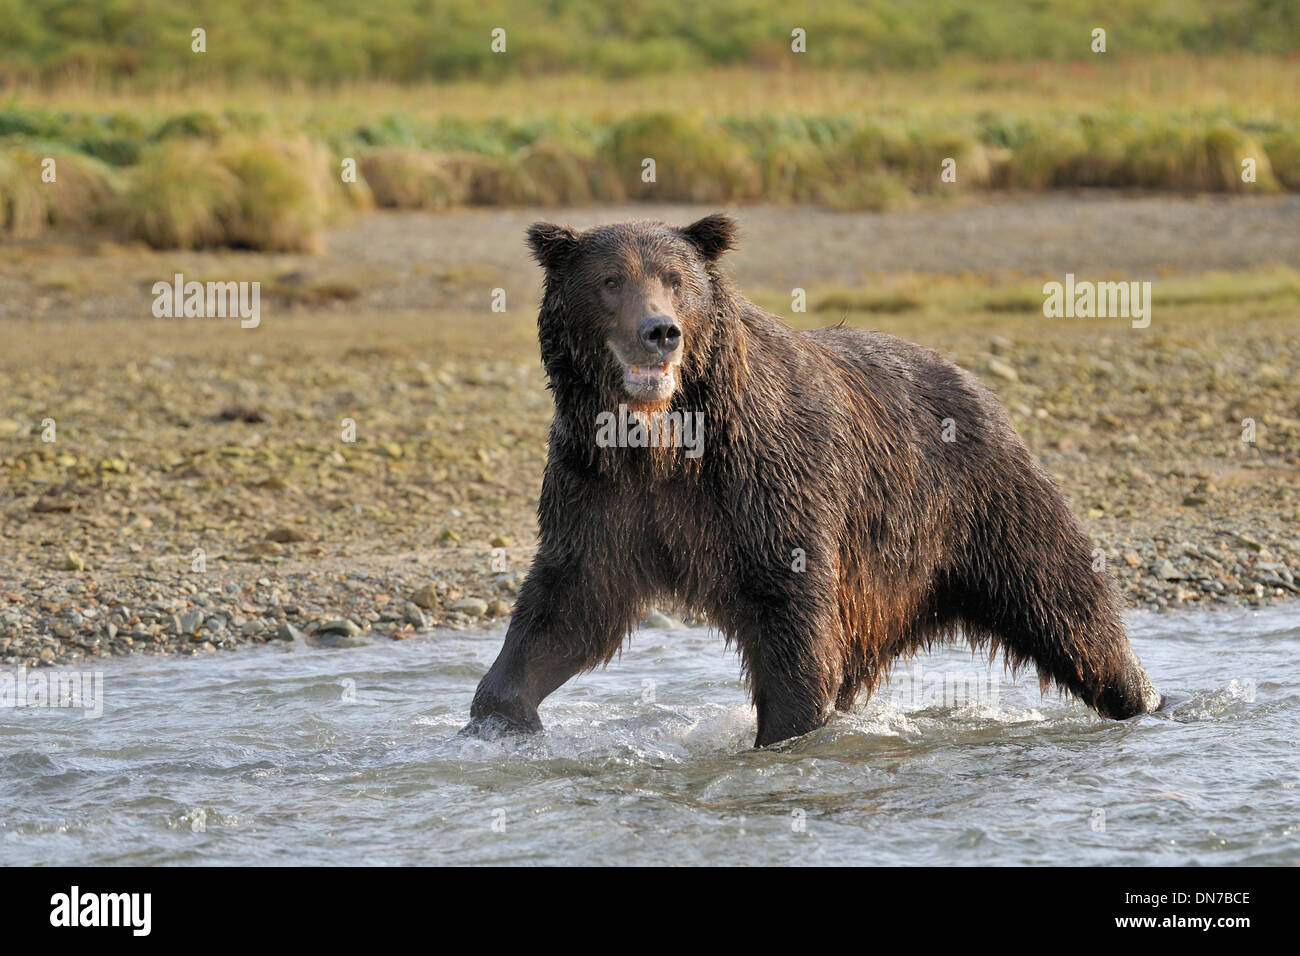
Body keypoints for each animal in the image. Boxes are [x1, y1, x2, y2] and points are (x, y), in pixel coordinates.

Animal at [465, 210, 1159, 749]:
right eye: (611, 281)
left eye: (676, 280)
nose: (659, 332)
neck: (659, 442)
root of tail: (974, 382)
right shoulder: (602, 490)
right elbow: (569, 604)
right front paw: (501, 717)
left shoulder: (763, 480)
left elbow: (792, 614)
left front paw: (782, 733)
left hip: (984, 498)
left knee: (1065, 598)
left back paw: (1143, 698)